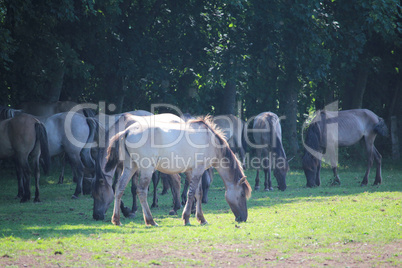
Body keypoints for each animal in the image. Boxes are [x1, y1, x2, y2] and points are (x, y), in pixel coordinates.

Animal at [103, 115, 250, 226]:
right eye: (242, 194)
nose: (243, 218)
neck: (211, 141)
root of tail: (127, 131)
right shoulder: (198, 170)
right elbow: (192, 194)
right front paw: (186, 218)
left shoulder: (193, 171)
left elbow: (198, 193)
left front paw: (201, 218)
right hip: (146, 169)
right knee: (141, 191)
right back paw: (151, 221)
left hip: (130, 167)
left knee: (120, 188)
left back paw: (116, 220)